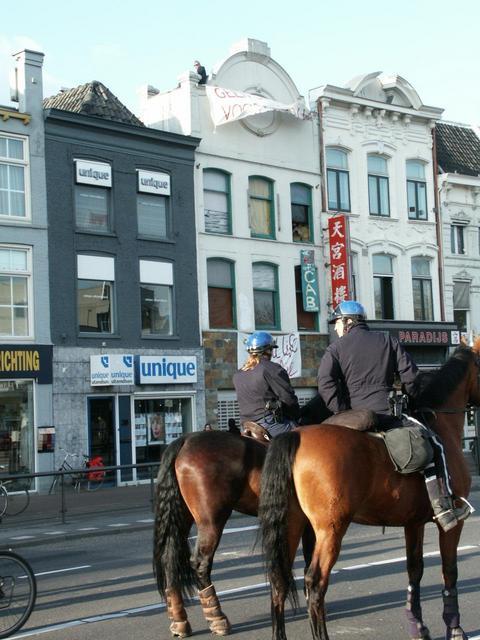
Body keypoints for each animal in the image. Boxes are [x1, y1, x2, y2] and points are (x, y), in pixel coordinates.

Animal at [154, 398, 330, 636]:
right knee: (200, 563)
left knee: (170, 558)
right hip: (212, 521)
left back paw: (180, 621)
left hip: (182, 517)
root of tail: (185, 441)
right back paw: (217, 619)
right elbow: (311, 559)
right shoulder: (314, 524)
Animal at [260, 342, 480, 640]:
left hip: (292, 523)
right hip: (330, 529)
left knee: (279, 580)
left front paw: (418, 626)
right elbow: (449, 570)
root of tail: (295, 435)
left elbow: (415, 570)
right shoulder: (451, 525)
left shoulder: (414, 524)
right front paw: (454, 628)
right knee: (314, 583)